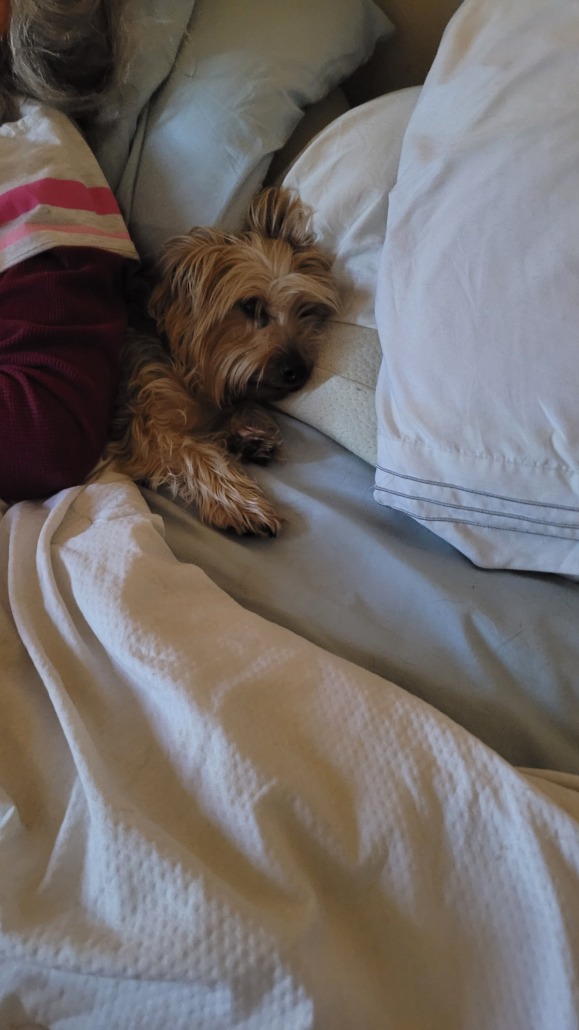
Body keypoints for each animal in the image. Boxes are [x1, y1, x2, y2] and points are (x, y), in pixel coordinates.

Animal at [105, 187, 339, 536]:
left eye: (305, 310)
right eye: (251, 306)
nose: (298, 371)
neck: (185, 365)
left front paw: (251, 437)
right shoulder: (148, 422)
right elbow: (192, 450)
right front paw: (243, 506)